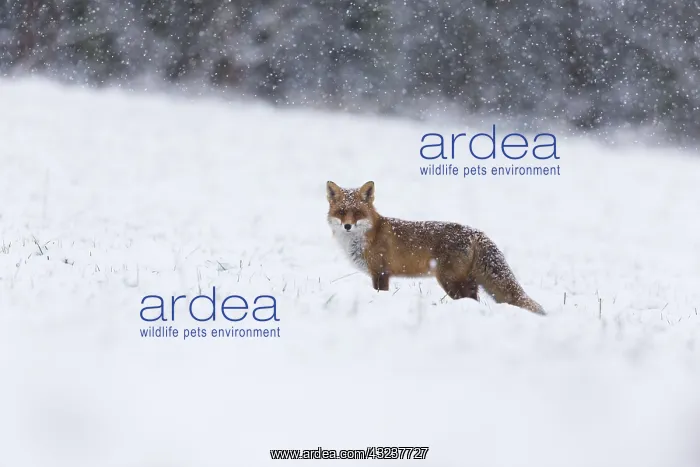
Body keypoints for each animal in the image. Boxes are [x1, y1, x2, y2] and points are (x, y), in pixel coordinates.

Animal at [326, 180, 546, 315]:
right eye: (342, 212)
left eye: (357, 213)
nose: (347, 226)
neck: (367, 237)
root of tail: (475, 232)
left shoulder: (380, 272)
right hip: (465, 281)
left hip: (449, 281)